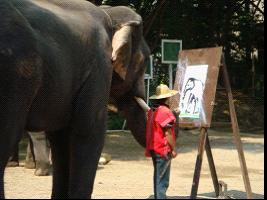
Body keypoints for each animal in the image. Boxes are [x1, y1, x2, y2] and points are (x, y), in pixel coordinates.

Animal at [0, 0, 150, 198]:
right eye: (144, 62)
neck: (108, 12)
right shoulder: (100, 67)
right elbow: (89, 132)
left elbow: (61, 138)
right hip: (15, 76)